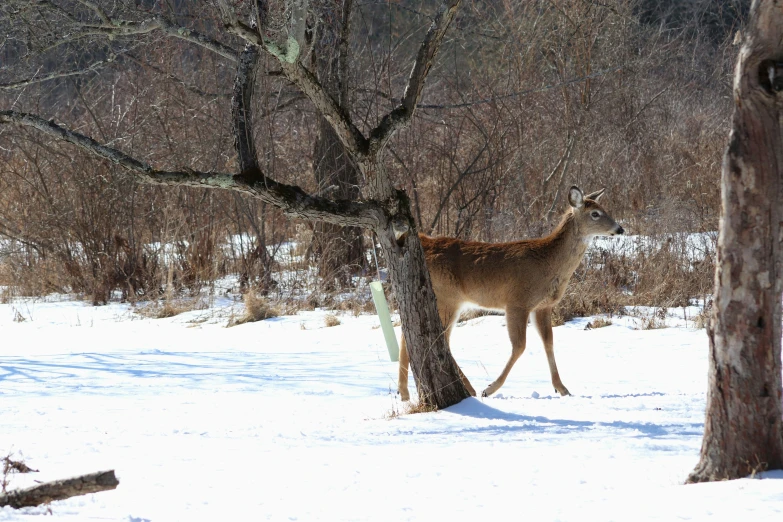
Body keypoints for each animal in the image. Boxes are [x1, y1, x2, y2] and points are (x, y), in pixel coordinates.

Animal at [398, 185, 624, 400]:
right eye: (595, 213)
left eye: (604, 209)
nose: (620, 229)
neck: (548, 261)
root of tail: (425, 243)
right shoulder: (517, 301)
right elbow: (520, 346)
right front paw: (490, 389)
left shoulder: (543, 306)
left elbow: (549, 342)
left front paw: (562, 388)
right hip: (447, 297)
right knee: (439, 340)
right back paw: (470, 389)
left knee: (409, 334)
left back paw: (404, 393)